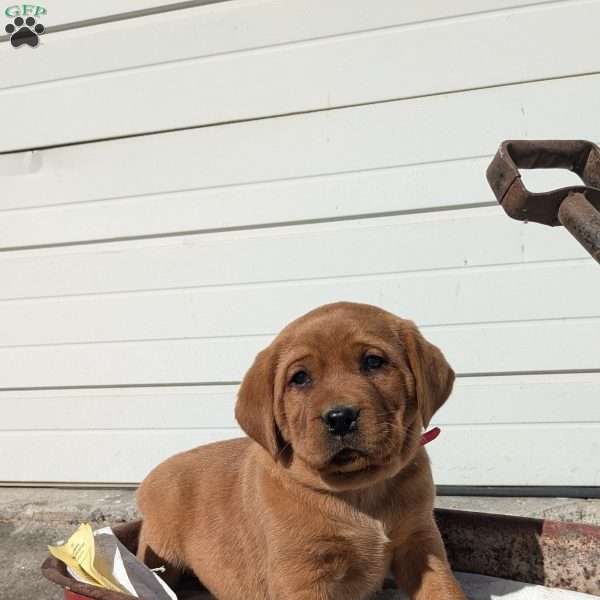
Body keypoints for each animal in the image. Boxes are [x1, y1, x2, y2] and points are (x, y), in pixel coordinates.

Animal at [138, 304, 466, 600]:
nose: (340, 417)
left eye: (373, 362)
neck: (360, 490)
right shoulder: (302, 573)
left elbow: (443, 589)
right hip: (159, 549)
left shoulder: (420, 542)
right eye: (300, 378)